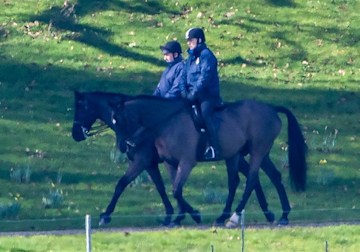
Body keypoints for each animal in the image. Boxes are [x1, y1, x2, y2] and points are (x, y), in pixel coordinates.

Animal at [70, 92, 278, 226]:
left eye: (82, 108)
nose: (75, 135)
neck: (162, 122)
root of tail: (271, 110)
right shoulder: (157, 163)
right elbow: (165, 188)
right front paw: (175, 215)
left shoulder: (147, 161)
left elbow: (124, 184)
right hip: (235, 156)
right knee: (248, 179)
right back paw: (267, 213)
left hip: (254, 152)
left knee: (252, 179)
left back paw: (241, 216)